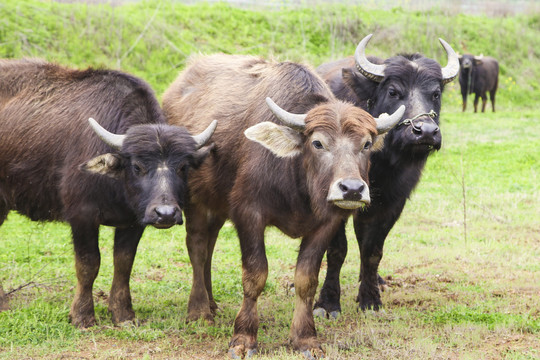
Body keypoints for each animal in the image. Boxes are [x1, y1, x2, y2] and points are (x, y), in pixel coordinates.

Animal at [0, 58, 215, 326]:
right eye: (137, 166)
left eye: (183, 167)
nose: (165, 214)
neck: (116, 186)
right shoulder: (82, 217)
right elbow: (88, 264)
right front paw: (82, 315)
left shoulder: (134, 221)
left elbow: (123, 263)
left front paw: (123, 314)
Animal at [162, 53, 402, 358]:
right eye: (317, 143)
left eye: (367, 144)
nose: (352, 189)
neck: (295, 181)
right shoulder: (249, 214)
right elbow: (255, 276)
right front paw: (244, 338)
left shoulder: (326, 223)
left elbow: (306, 280)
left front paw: (305, 338)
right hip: (195, 199)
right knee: (197, 247)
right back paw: (199, 311)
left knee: (210, 245)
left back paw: (212, 304)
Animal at [312, 34, 460, 318]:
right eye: (393, 92)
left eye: (435, 94)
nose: (425, 131)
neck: (378, 161)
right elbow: (337, 250)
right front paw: (327, 303)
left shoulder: (392, 202)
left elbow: (372, 251)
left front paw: (370, 298)